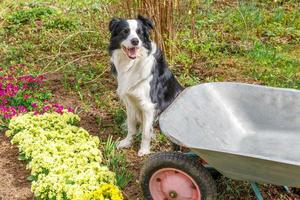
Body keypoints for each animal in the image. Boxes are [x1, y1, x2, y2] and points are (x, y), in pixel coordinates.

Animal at [108, 15, 183, 156]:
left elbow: (146, 132)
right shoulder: (130, 102)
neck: (133, 63)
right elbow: (131, 126)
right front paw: (127, 142)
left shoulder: (148, 106)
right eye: (125, 31)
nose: (135, 41)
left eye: (139, 33)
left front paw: (144, 150)